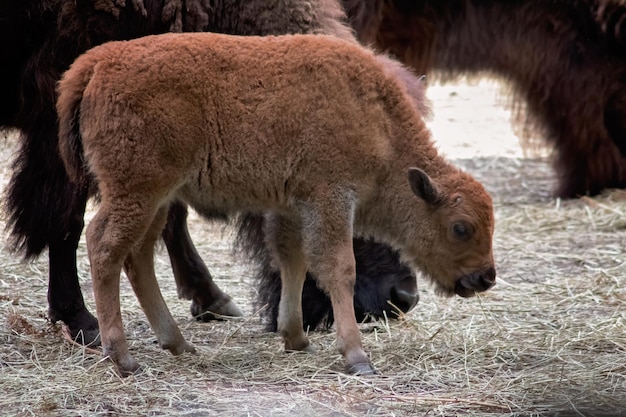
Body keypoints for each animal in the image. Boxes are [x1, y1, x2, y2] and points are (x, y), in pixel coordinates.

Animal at [56, 32, 494, 376]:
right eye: (461, 227)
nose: (485, 277)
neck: (378, 119)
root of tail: (97, 63)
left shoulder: (293, 206)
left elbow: (293, 261)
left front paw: (296, 337)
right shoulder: (331, 198)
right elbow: (340, 268)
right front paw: (356, 356)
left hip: (155, 198)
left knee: (138, 256)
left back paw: (177, 343)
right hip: (136, 191)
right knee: (104, 246)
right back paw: (123, 358)